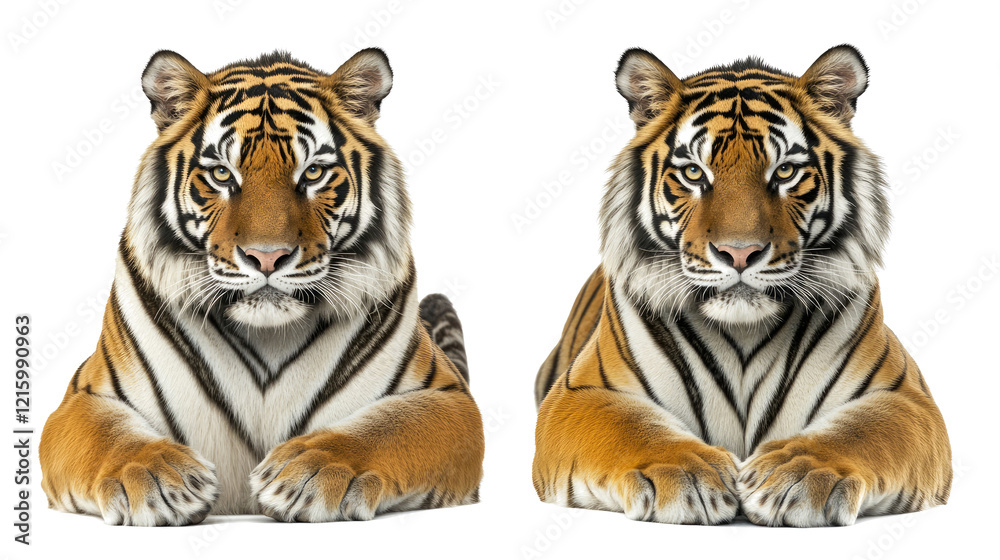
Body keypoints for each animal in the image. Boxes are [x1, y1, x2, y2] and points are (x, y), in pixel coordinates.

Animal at [39, 48, 485, 526]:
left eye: (313, 173)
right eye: (221, 174)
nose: (267, 257)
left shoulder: (448, 397)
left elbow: (388, 428)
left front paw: (312, 470)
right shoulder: (80, 400)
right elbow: (110, 436)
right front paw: (156, 478)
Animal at [532, 45, 952, 527]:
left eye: (785, 171)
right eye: (694, 173)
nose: (738, 253)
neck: (743, 333)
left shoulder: (906, 398)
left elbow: (860, 432)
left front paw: (797, 475)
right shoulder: (579, 393)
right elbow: (631, 429)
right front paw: (687, 471)